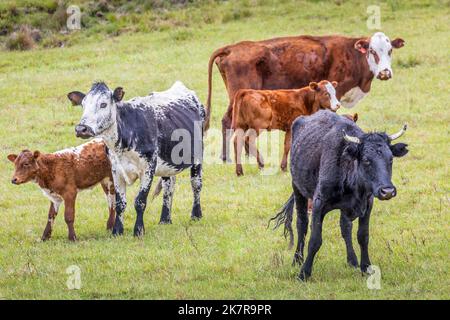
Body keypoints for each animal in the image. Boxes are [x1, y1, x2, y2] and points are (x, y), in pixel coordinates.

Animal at [68, 81, 206, 236]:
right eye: (83, 104)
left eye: (103, 104)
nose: (81, 129)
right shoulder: (116, 170)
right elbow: (120, 203)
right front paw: (117, 231)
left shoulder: (148, 168)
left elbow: (140, 201)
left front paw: (138, 230)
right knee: (168, 186)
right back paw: (165, 219)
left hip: (198, 156)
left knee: (196, 184)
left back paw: (196, 215)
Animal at [207, 31, 404, 161]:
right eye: (372, 51)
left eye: (390, 50)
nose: (385, 72)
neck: (350, 54)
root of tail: (232, 48)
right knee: (228, 122)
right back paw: (228, 157)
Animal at [270, 110, 408, 280]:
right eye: (366, 160)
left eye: (391, 159)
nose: (387, 191)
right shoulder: (318, 202)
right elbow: (315, 240)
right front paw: (304, 273)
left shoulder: (367, 203)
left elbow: (363, 236)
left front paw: (366, 267)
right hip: (298, 188)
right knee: (302, 224)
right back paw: (297, 259)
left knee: (345, 227)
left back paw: (352, 261)